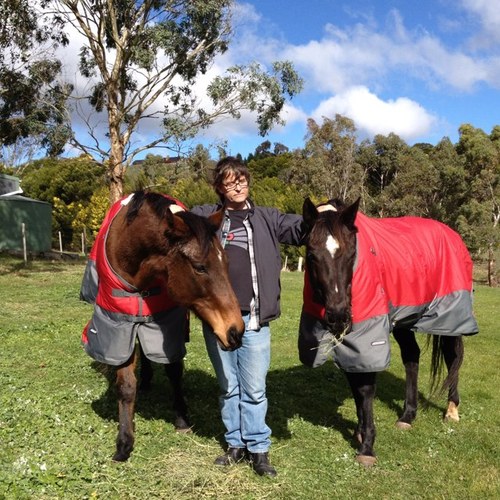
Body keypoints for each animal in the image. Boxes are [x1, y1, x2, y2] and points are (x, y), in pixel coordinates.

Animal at [80, 190, 244, 460]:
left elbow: (174, 370)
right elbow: (126, 385)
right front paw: (124, 442)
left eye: (227, 263)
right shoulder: (119, 325)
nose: (235, 331)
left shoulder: (166, 323)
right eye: (200, 267)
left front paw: (181, 419)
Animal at [298, 197, 478, 466]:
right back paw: (408, 415)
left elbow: (365, 388)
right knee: (412, 357)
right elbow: (355, 382)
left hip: (450, 318)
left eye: (351, 254)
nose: (338, 315)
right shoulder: (352, 338)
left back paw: (451, 410)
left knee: (452, 358)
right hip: (405, 319)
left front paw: (367, 446)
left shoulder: (368, 334)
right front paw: (360, 432)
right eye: (311, 256)